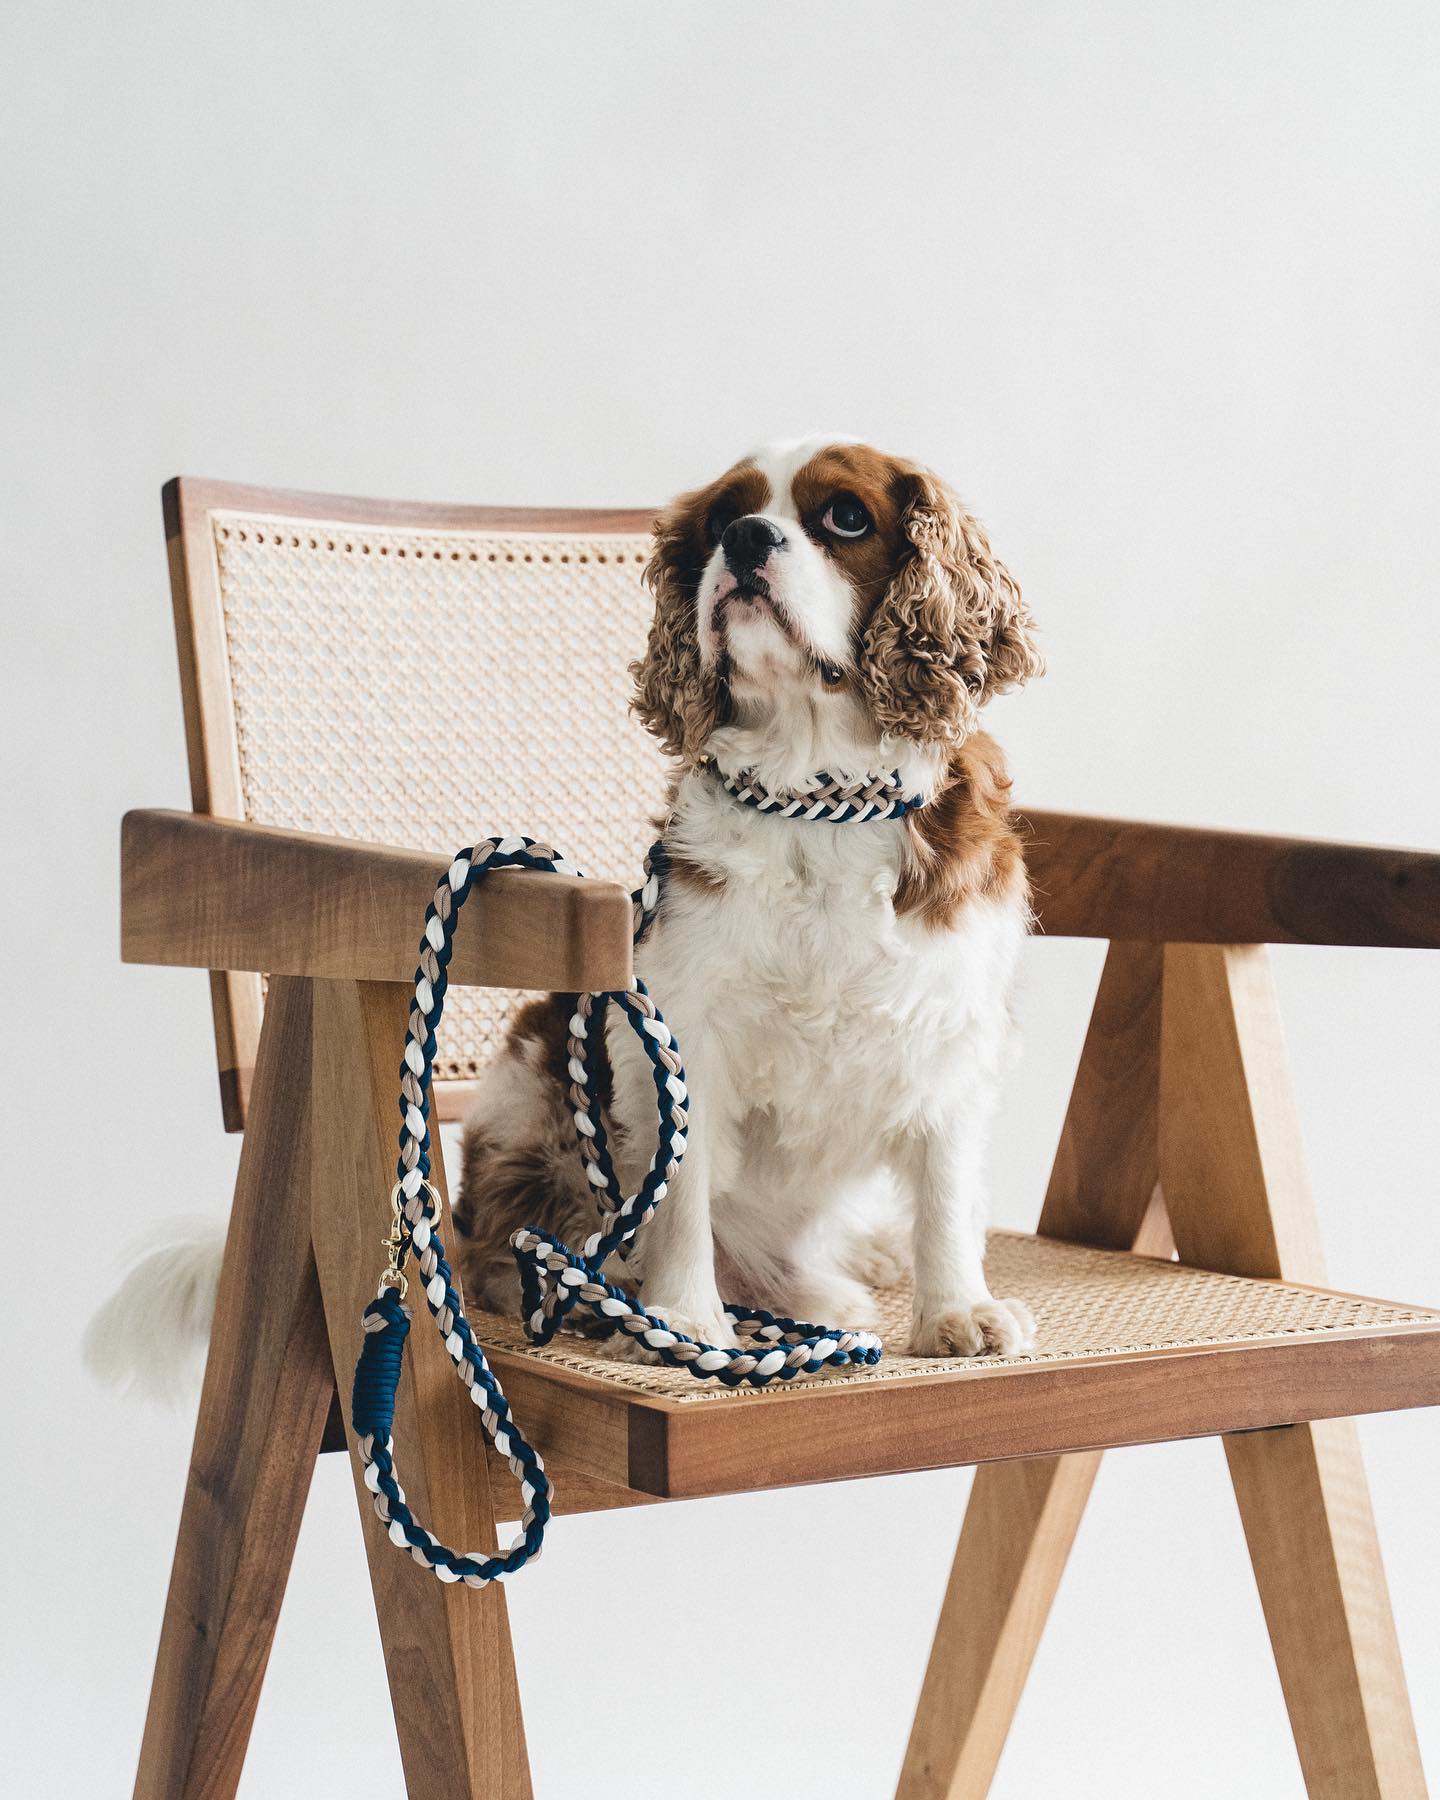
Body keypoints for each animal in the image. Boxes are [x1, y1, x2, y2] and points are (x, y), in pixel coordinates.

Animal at [455, 442, 1044, 1353]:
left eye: (845, 516)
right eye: (719, 519)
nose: (746, 538)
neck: (817, 789)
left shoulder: (949, 1023)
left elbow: (946, 1194)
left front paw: (957, 1313)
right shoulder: (681, 1034)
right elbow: (679, 1194)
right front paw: (679, 1320)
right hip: (527, 1088)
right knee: (500, 1240)